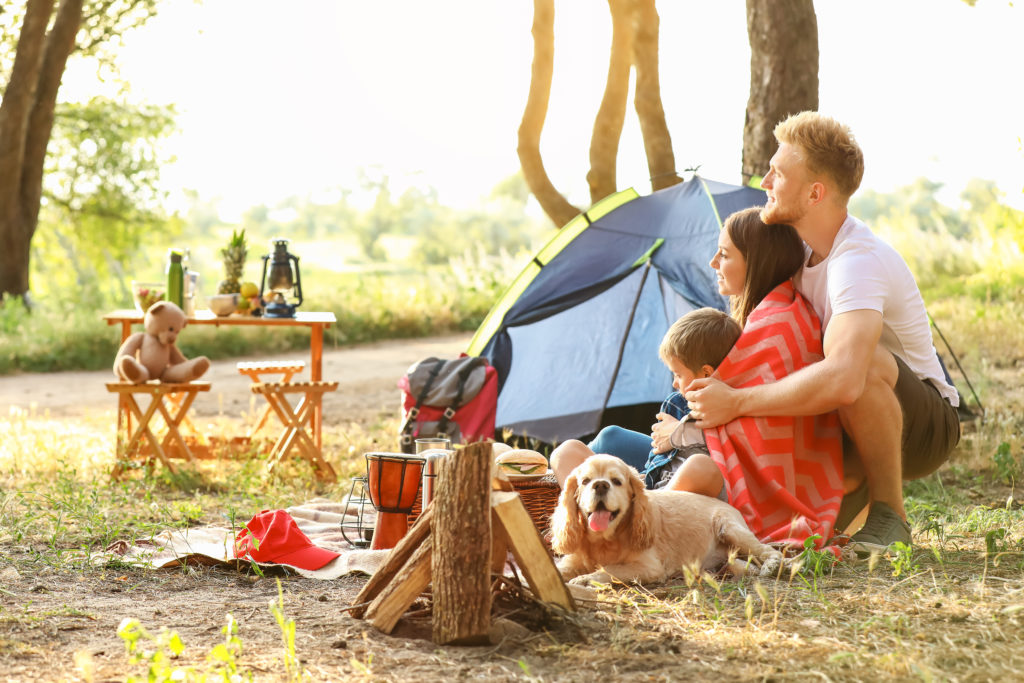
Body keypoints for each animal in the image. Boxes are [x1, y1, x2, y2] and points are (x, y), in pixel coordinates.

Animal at [552, 456, 782, 585]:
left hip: (730, 529)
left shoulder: (649, 567)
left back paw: (772, 566)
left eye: (616, 481)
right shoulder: (572, 561)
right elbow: (558, 570)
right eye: (585, 481)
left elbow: (609, 569)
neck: (604, 540)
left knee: (770, 551)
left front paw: (585, 578)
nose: (600, 485)